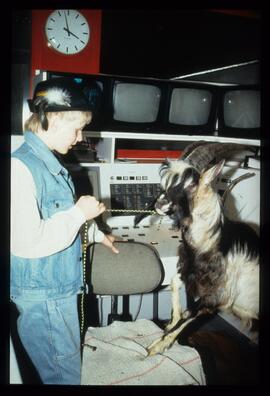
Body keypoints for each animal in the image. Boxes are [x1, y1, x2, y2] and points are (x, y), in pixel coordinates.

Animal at [135, 142, 260, 356]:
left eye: (190, 184)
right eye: (167, 181)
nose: (160, 203)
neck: (211, 241)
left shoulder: (218, 296)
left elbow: (189, 313)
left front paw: (157, 346)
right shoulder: (188, 271)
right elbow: (173, 282)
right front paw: (171, 324)